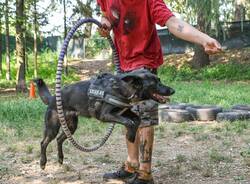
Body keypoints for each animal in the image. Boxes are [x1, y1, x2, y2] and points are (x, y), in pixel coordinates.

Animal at [34, 69, 175, 170]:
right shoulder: (104, 115)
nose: (173, 90)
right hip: (52, 127)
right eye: (155, 83)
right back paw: (43, 162)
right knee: (44, 142)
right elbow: (128, 121)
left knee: (59, 139)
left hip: (72, 126)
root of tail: (53, 98)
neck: (121, 88)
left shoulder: (125, 112)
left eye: (159, 80)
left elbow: (137, 119)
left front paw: (131, 135)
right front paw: (130, 135)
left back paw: (60, 158)